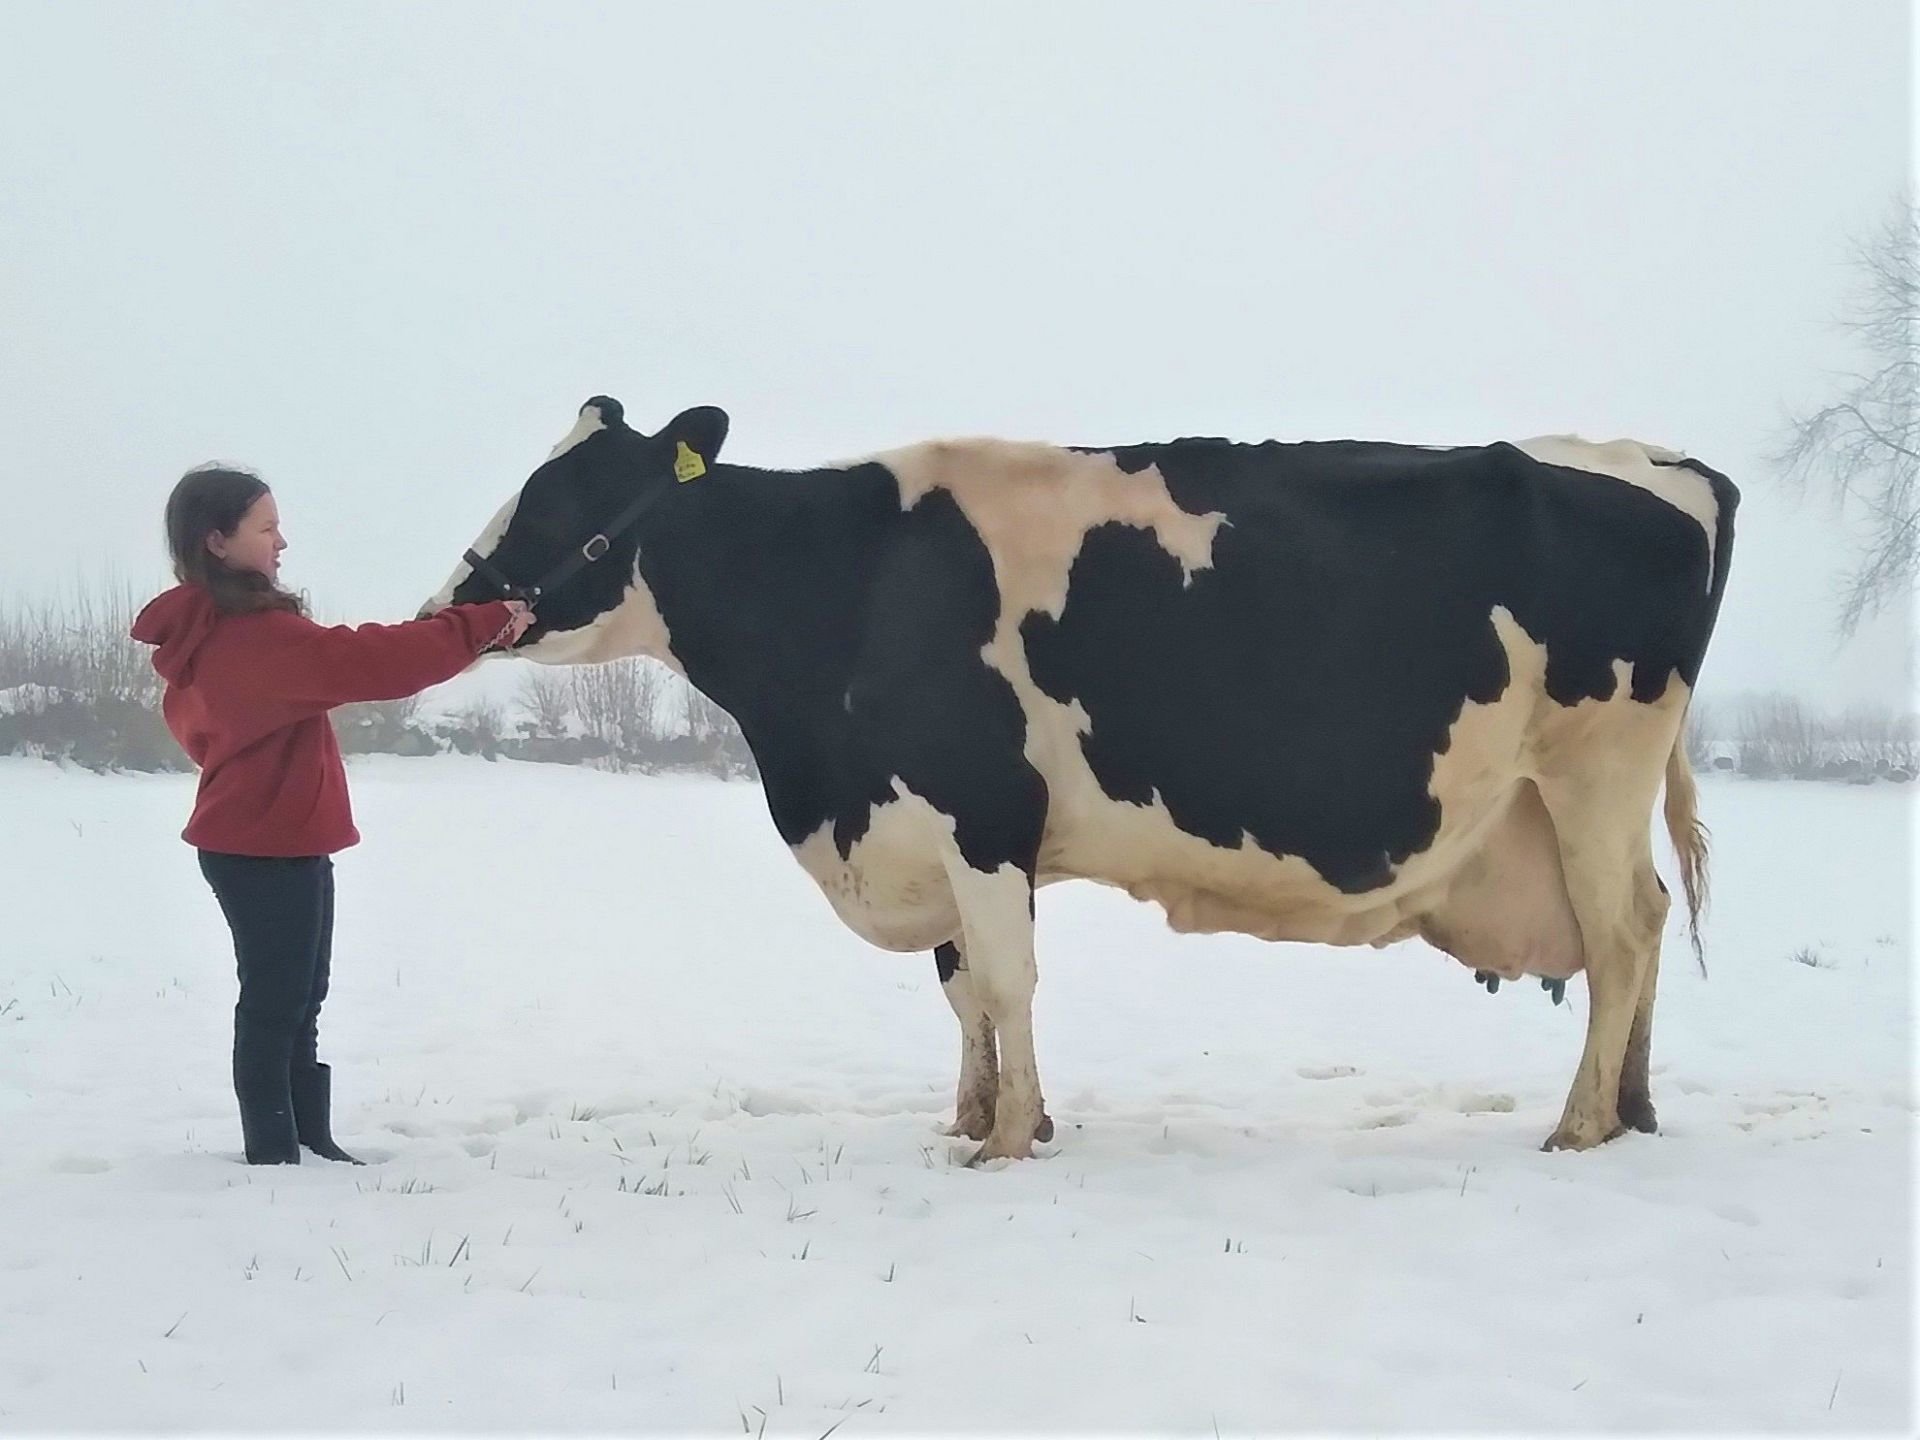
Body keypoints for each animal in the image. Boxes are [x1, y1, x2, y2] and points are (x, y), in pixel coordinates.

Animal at [424, 401, 1743, 1167]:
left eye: (568, 495)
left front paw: (1010, 1140)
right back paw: (1632, 1108)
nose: (458, 598)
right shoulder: (935, 826)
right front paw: (974, 1115)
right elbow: (962, 989)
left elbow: (1006, 981)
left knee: (1623, 934)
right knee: (1643, 927)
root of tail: (1665, 460)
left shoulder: (980, 809)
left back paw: (1579, 1124)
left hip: (1593, 767)